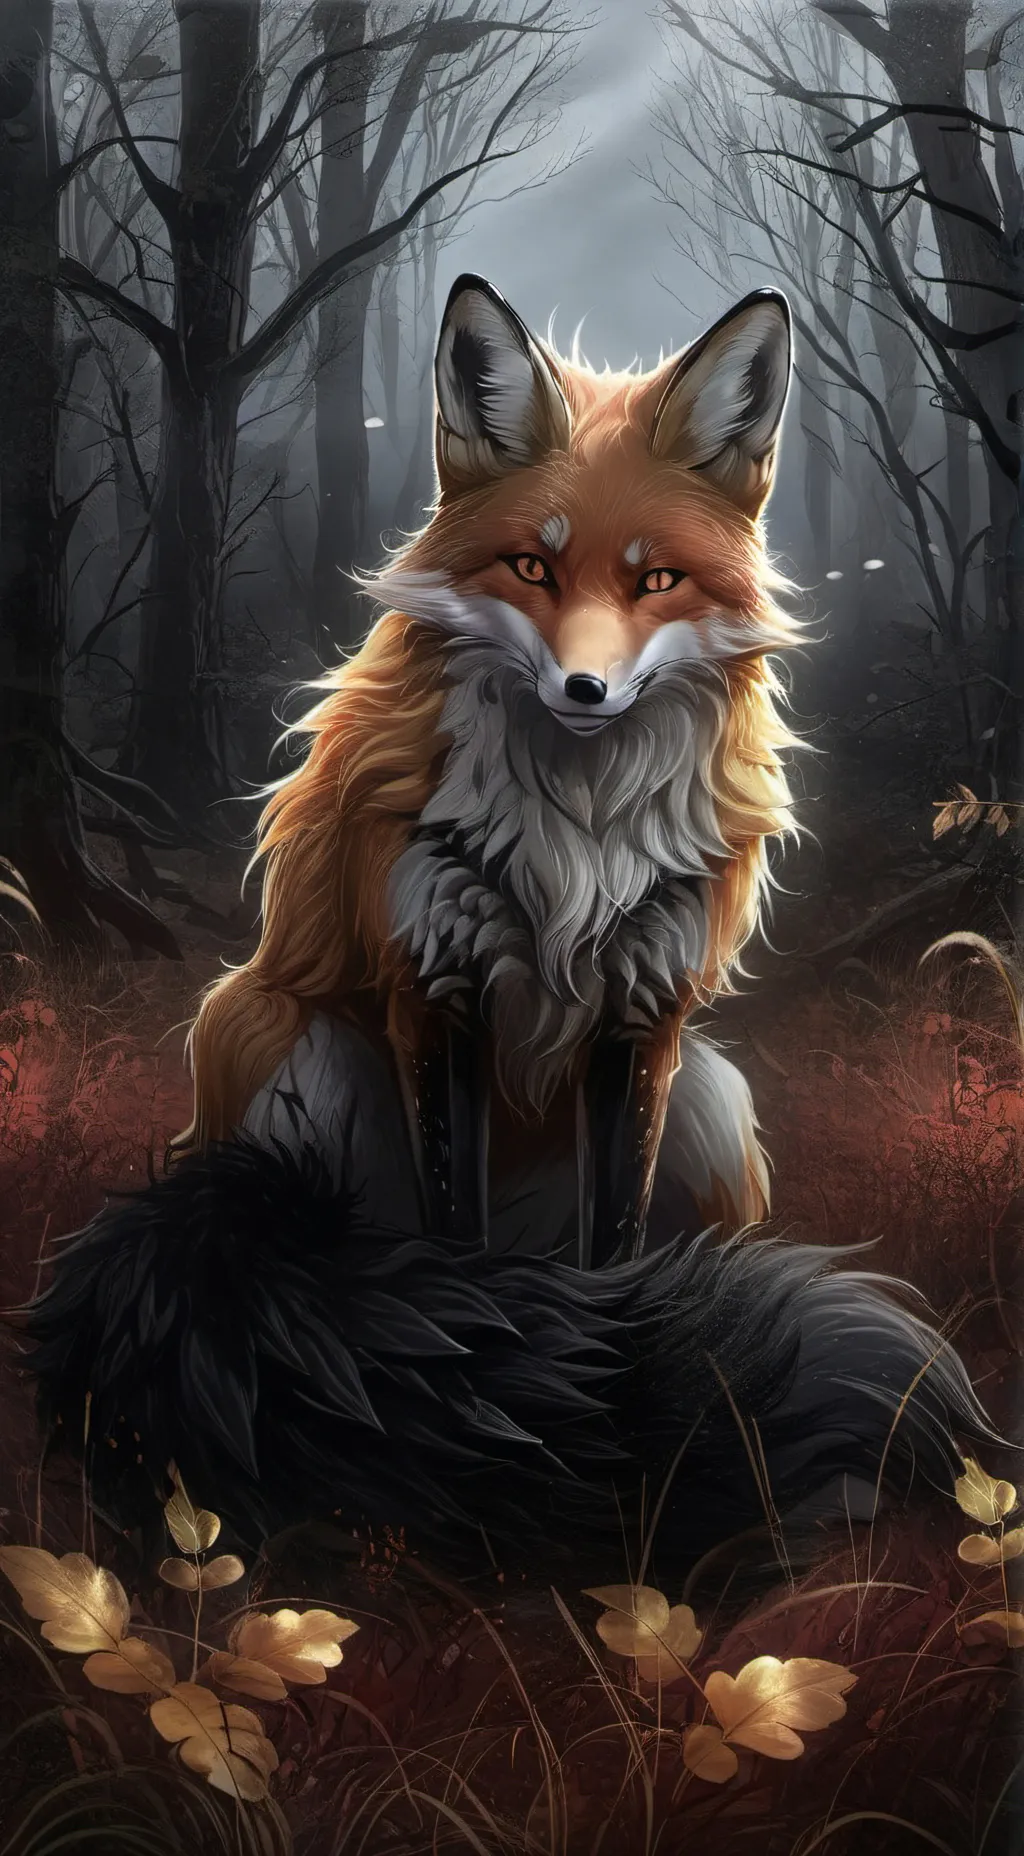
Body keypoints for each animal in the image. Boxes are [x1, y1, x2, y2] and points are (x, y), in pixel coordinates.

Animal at [21, 278, 1006, 1578]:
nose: (586, 690)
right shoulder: (433, 995)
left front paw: (629, 1385)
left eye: (655, 582)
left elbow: (621, 1249)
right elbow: (456, 1238)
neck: (572, 831)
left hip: (712, 1095)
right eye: (532, 564)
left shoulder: (644, 1015)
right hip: (280, 1046)